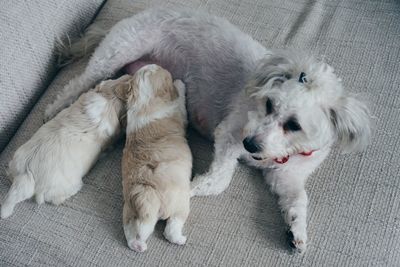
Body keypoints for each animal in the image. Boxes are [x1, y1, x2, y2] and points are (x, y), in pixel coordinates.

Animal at [119, 65, 192, 253]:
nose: (156, 64)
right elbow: (180, 99)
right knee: (171, 229)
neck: (145, 100)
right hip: (181, 205)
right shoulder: (179, 110)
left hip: (131, 212)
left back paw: (138, 245)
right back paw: (180, 239)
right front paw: (180, 83)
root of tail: (146, 195)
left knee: (134, 231)